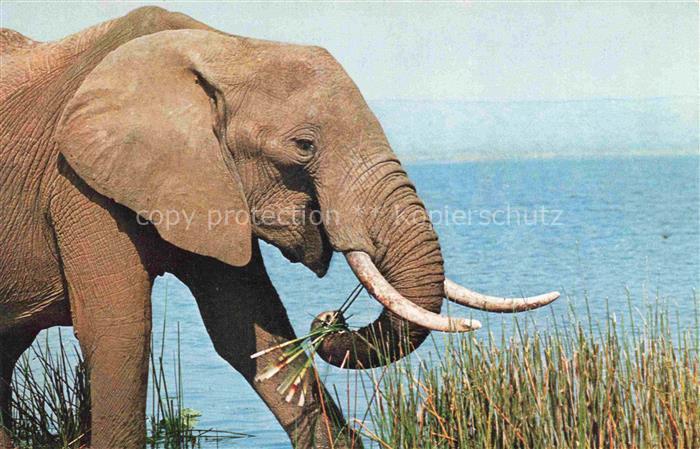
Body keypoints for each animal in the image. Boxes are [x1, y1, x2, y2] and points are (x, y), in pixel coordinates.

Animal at [0, 7, 559, 449]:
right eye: (304, 146)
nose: (330, 319)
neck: (225, 47)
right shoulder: (77, 182)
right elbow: (120, 333)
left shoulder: (207, 183)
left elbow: (249, 331)